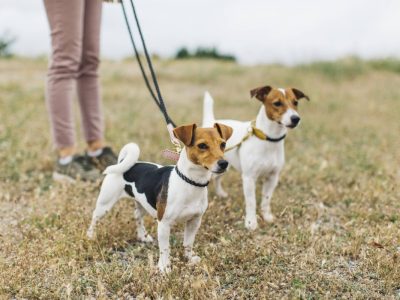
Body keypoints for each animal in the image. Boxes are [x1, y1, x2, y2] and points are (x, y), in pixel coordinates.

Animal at [86, 123, 233, 274]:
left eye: (223, 144)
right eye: (202, 145)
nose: (224, 163)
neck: (191, 182)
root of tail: (124, 162)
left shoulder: (194, 221)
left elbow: (188, 243)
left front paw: (189, 258)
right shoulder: (164, 224)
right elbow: (165, 249)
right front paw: (164, 268)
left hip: (143, 203)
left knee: (137, 216)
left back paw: (143, 236)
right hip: (105, 204)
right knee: (95, 218)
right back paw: (91, 235)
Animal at [203, 85, 310, 231]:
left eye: (296, 102)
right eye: (277, 103)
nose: (295, 118)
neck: (269, 140)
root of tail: (211, 122)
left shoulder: (272, 177)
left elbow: (266, 199)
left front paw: (267, 216)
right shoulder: (249, 178)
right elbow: (251, 202)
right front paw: (251, 222)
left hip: (224, 165)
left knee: (218, 178)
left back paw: (221, 193)